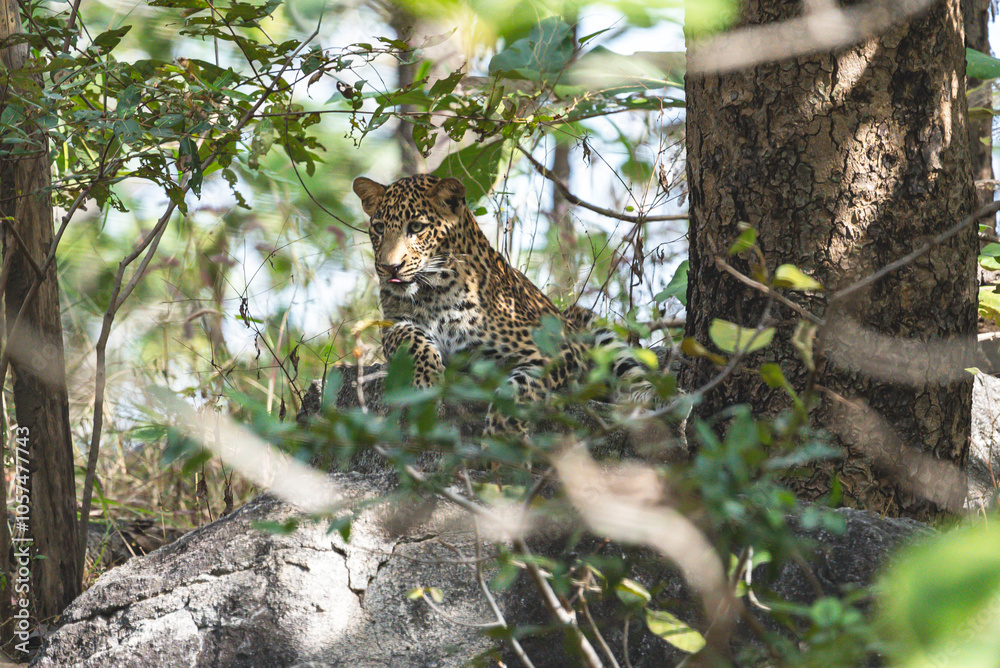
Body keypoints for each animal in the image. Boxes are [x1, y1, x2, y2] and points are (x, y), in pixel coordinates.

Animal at [352, 173, 646, 429]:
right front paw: (426, 383)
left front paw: (503, 434)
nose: (389, 268)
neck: (434, 293)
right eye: (379, 228)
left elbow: (519, 389)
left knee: (636, 375)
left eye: (416, 227)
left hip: (591, 325)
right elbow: (410, 338)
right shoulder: (394, 322)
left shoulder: (556, 348)